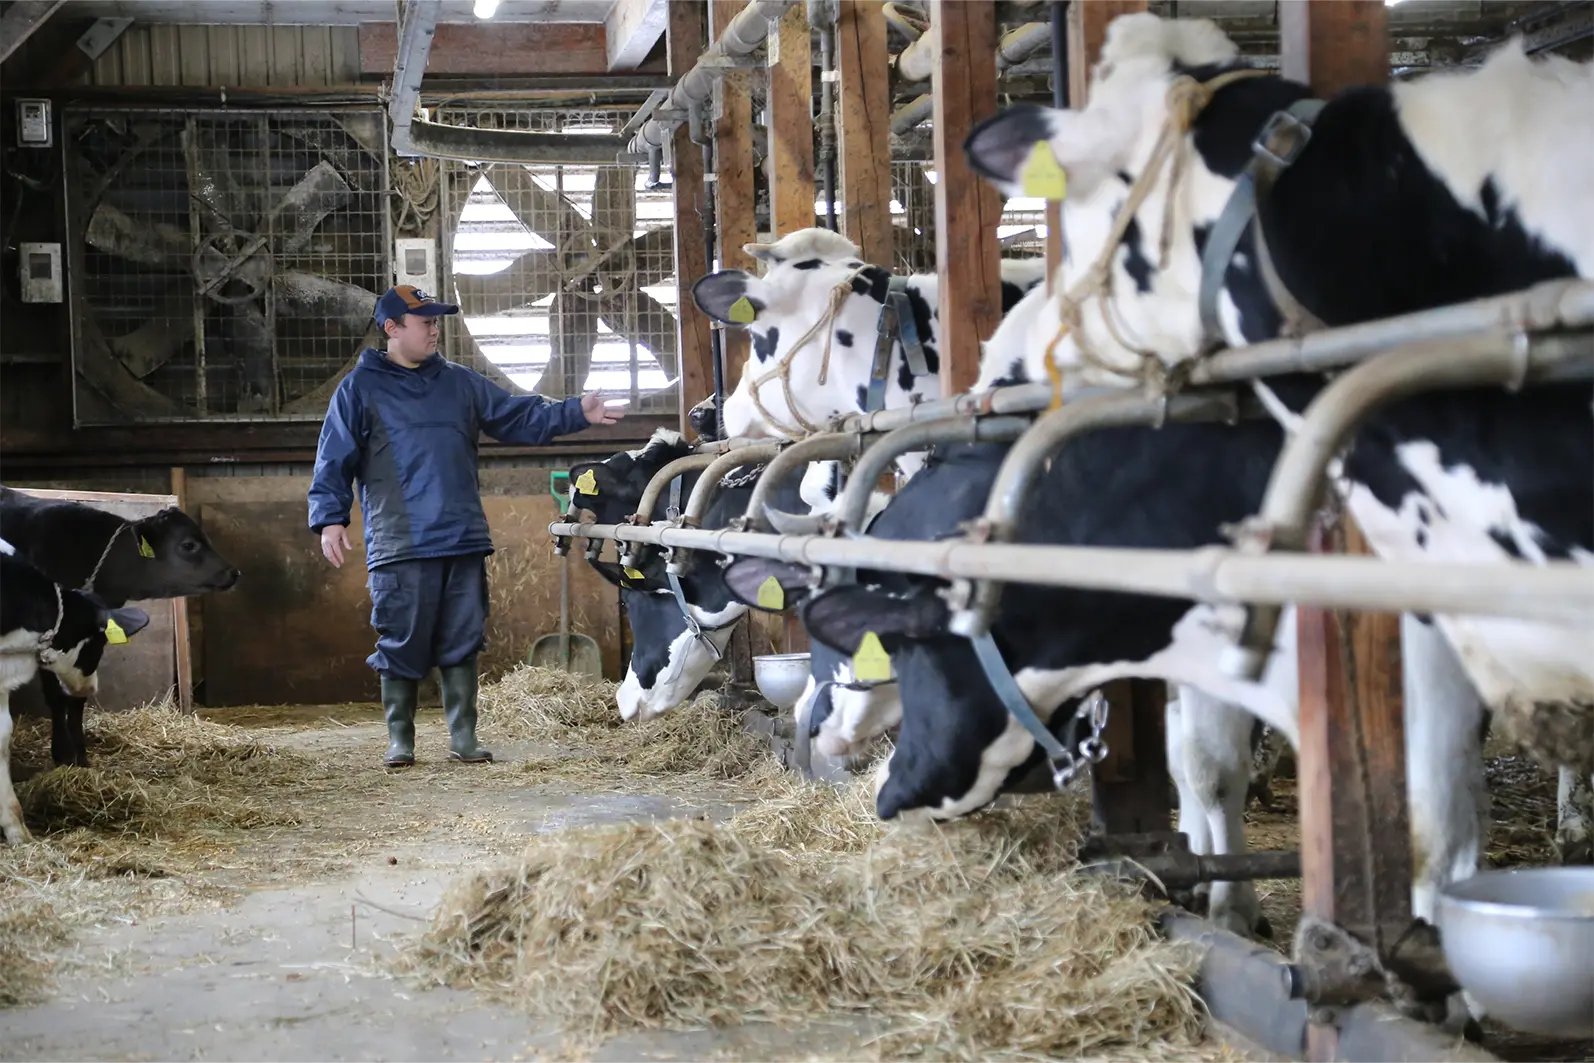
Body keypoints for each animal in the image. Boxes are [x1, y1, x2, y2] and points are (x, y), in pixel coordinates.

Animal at [0, 487, 242, 768]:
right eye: (189, 545)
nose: (233, 572)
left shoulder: (95, 639)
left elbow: (78, 698)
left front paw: (81, 755)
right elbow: (56, 696)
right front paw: (62, 754)